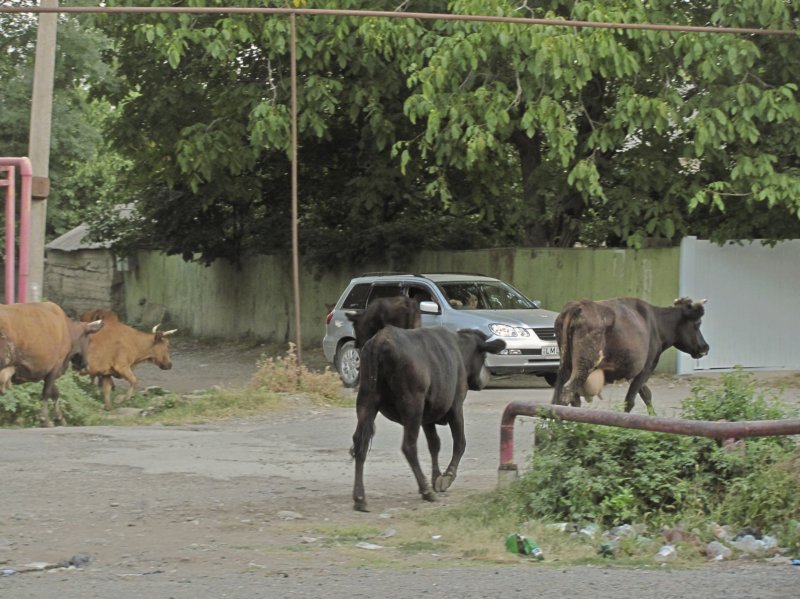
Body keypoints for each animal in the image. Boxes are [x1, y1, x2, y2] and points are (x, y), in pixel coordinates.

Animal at [352, 326, 504, 512]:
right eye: (483, 357)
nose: (485, 379)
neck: (459, 348)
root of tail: (380, 340)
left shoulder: (428, 418)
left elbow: (434, 444)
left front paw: (436, 477)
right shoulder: (456, 406)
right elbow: (460, 442)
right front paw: (446, 477)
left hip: (366, 400)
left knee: (360, 443)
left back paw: (360, 497)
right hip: (413, 405)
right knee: (409, 447)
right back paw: (425, 490)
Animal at [552, 296, 708, 418]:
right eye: (697, 323)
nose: (705, 347)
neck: (656, 324)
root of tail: (577, 306)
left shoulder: (634, 373)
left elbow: (646, 394)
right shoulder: (646, 367)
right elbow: (630, 401)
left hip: (565, 365)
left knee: (560, 395)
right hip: (585, 365)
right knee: (568, 392)